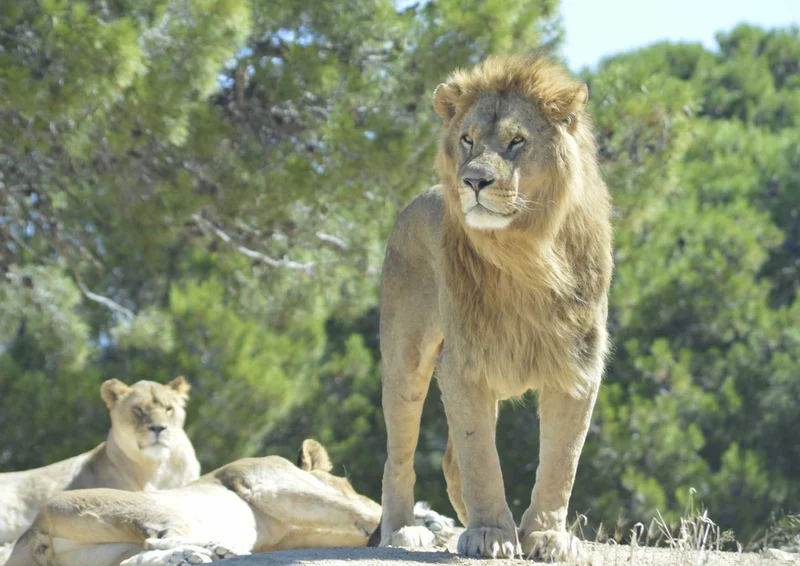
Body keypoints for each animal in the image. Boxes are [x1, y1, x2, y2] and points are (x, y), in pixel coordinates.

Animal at [6, 439, 454, 566]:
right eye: (346, 480)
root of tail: (30, 533)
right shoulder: (267, 481)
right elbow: (361, 510)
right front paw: (426, 526)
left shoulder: (289, 537)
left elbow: (356, 530)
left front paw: (428, 522)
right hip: (148, 507)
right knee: (156, 539)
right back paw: (210, 550)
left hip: (102, 553)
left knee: (134, 560)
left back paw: (195, 556)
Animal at [373, 54, 613, 561]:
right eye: (467, 140)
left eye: (516, 141)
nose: (474, 180)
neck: (526, 254)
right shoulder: (464, 363)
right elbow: (480, 457)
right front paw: (491, 533)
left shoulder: (577, 367)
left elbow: (561, 462)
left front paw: (545, 536)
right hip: (405, 363)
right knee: (399, 453)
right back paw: (403, 530)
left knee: (450, 460)